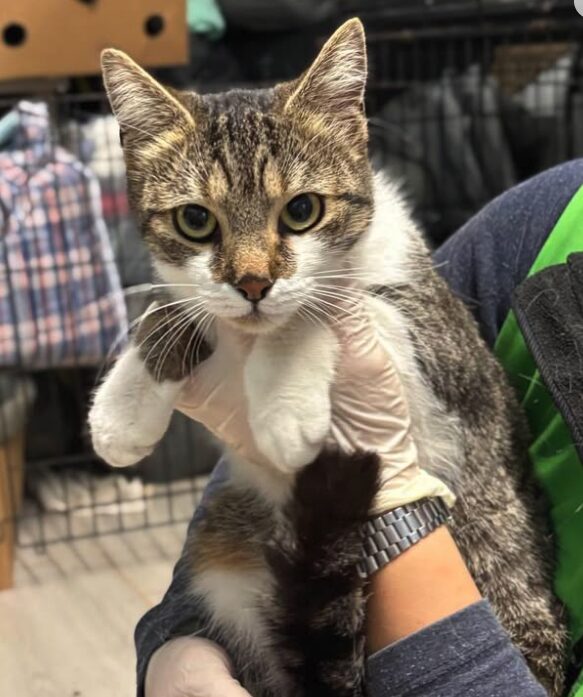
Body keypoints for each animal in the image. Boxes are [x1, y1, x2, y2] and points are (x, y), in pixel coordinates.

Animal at [89, 19, 568, 692]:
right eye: (195, 221)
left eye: (302, 210)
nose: (253, 283)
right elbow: (176, 307)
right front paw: (122, 411)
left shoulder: (438, 345)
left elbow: (326, 309)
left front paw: (284, 406)